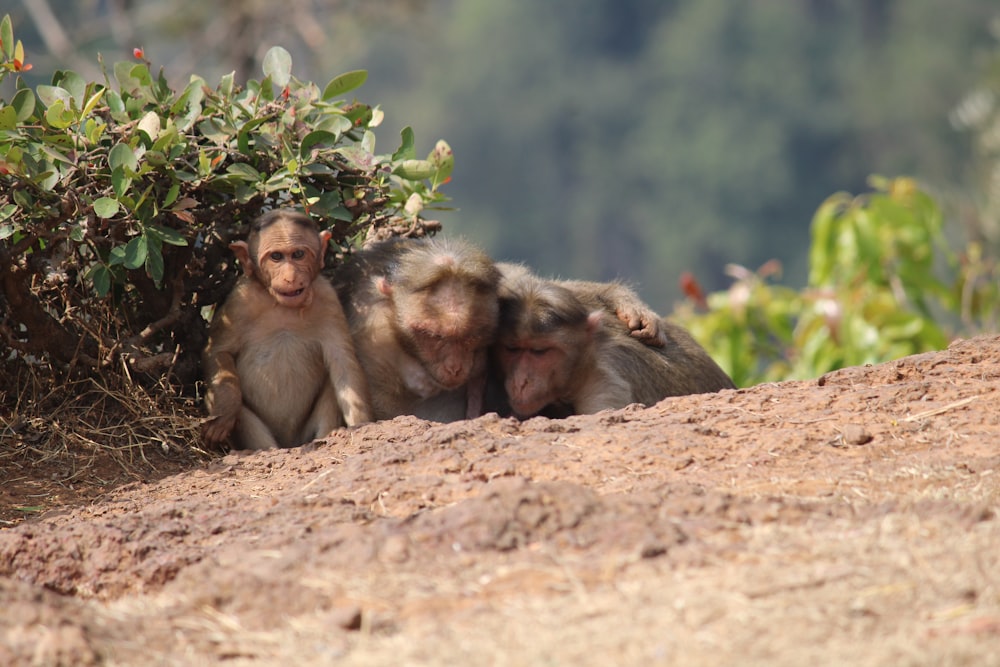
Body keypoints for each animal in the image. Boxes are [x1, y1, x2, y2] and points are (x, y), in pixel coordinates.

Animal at [201, 210, 374, 448]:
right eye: (276, 257)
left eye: (298, 254)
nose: (290, 277)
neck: (283, 306)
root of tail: (289, 443)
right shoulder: (239, 302)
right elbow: (218, 351)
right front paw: (225, 411)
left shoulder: (328, 299)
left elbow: (344, 364)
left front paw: (361, 425)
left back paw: (328, 437)